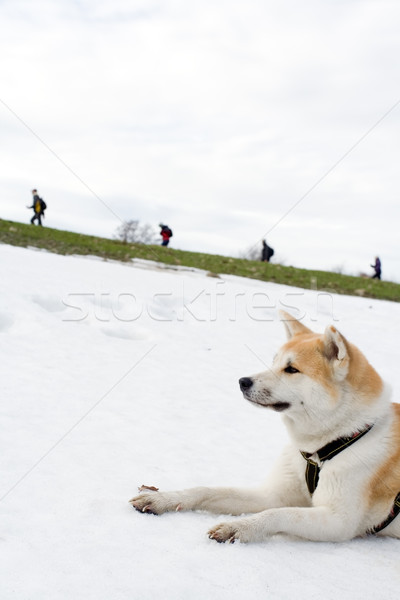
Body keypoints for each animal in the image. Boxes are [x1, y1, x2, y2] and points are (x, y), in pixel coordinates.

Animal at [130, 312, 400, 540]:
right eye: (274, 361)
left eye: (291, 369)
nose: (242, 381)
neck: (326, 445)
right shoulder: (274, 494)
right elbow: (206, 490)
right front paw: (164, 498)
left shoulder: (338, 521)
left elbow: (281, 513)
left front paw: (240, 527)